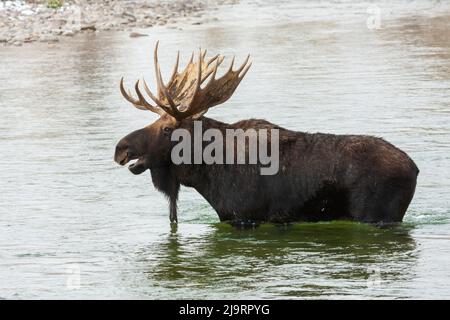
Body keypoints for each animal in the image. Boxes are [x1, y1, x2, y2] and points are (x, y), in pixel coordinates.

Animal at [115, 42, 418, 225]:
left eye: (167, 128)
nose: (121, 148)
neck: (205, 174)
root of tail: (415, 169)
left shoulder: (246, 217)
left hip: (377, 215)